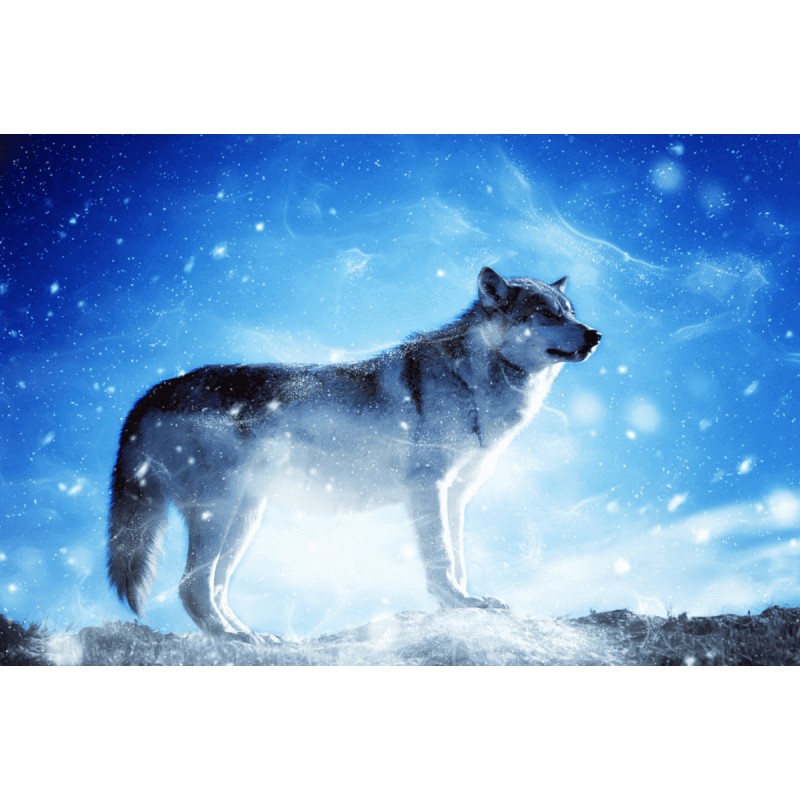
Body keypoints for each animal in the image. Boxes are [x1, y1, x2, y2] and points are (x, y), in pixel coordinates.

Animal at [108, 267, 601, 639]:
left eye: (570, 312)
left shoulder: (456, 495)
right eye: (545, 314)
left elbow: (458, 559)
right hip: (219, 512)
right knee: (191, 588)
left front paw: (465, 603)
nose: (595, 335)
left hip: (245, 518)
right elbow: (441, 558)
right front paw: (458, 603)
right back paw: (232, 639)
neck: (472, 380)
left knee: (215, 587)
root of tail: (149, 394)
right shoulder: (428, 488)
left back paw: (253, 636)